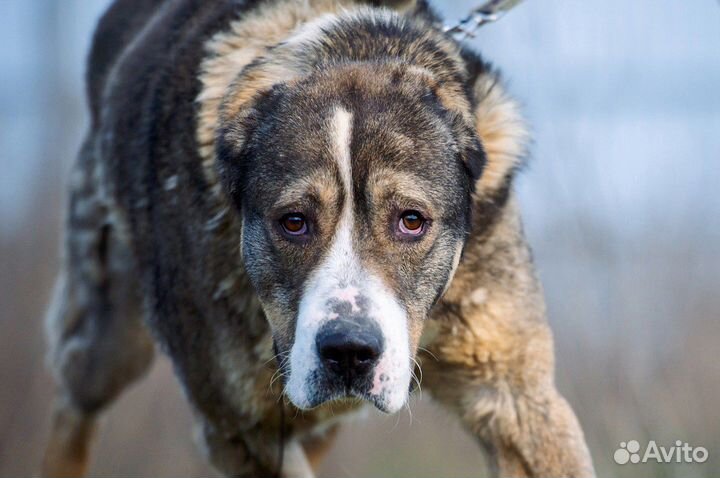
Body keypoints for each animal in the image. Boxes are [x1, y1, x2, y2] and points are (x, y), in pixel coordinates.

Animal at [43, 0, 596, 478]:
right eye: (293, 221)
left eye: (411, 220)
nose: (349, 351)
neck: (350, 47)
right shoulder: (243, 430)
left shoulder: (518, 400)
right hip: (111, 339)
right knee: (72, 402)